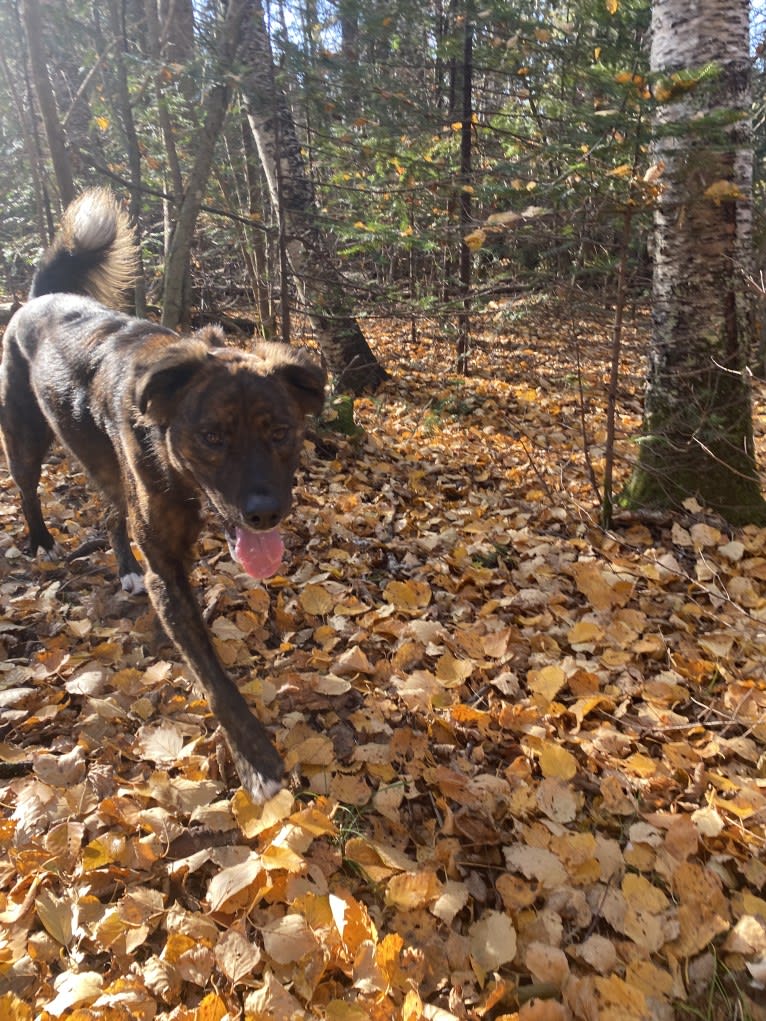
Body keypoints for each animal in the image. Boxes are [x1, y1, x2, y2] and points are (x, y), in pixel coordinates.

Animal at [0, 189, 326, 796]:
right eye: (212, 437)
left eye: (280, 432)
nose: (265, 514)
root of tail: (40, 297)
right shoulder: (167, 569)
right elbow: (213, 677)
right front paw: (257, 761)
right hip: (27, 435)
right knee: (28, 487)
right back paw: (42, 540)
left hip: (107, 467)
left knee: (112, 516)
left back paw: (122, 567)